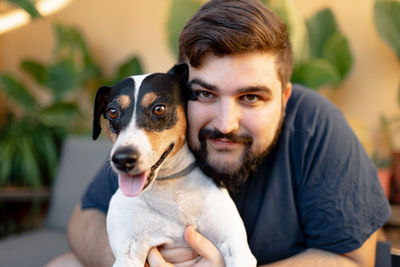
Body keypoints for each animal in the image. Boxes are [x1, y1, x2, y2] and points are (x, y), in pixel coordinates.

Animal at [92, 63, 256, 266]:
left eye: (159, 109)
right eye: (112, 112)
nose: (123, 159)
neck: (170, 187)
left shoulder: (237, 249)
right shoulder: (127, 255)